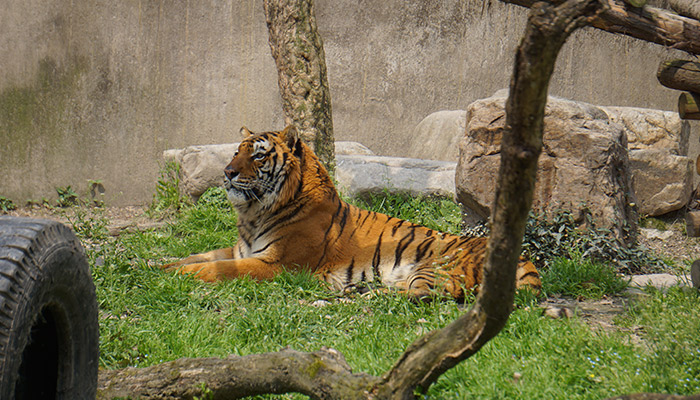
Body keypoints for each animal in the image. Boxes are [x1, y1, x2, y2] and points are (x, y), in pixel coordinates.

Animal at [162, 125, 541, 300]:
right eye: (236, 151)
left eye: (257, 155)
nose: (227, 172)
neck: (254, 214)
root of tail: (526, 261)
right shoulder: (240, 249)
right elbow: (198, 255)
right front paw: (156, 265)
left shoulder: (276, 264)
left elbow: (220, 268)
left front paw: (180, 275)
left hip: (436, 268)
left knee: (420, 295)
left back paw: (360, 293)